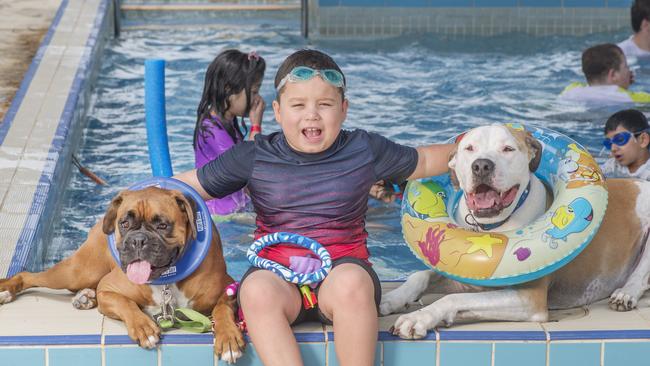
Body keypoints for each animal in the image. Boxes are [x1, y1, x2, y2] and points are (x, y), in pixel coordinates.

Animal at [0, 187, 243, 364]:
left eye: (162, 225)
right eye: (124, 223)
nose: (138, 240)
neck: (167, 282)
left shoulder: (229, 287)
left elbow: (222, 309)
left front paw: (228, 337)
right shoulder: (109, 290)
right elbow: (126, 304)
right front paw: (143, 327)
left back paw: (86, 297)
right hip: (78, 271)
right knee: (28, 275)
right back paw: (7, 290)